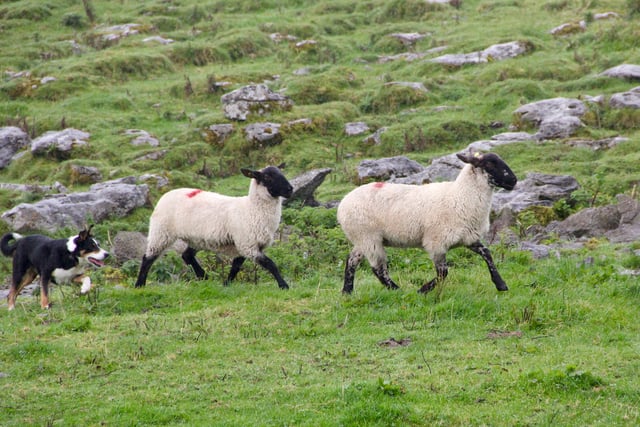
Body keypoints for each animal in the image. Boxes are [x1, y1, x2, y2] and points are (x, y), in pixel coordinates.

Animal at [134, 164, 293, 289]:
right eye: (267, 177)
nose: (290, 189)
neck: (251, 209)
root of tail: (166, 194)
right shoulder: (247, 244)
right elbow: (271, 264)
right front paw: (283, 285)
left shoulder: (245, 245)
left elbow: (236, 267)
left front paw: (227, 284)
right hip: (161, 231)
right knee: (148, 258)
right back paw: (139, 285)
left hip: (196, 239)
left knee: (187, 255)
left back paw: (203, 276)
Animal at [337, 151, 517, 294]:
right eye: (489, 163)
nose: (513, 181)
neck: (460, 196)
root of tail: (343, 204)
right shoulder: (436, 242)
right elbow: (443, 273)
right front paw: (422, 290)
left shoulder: (467, 238)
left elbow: (487, 253)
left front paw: (501, 285)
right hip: (369, 236)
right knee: (378, 269)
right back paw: (397, 291)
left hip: (362, 238)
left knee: (352, 260)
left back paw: (347, 291)